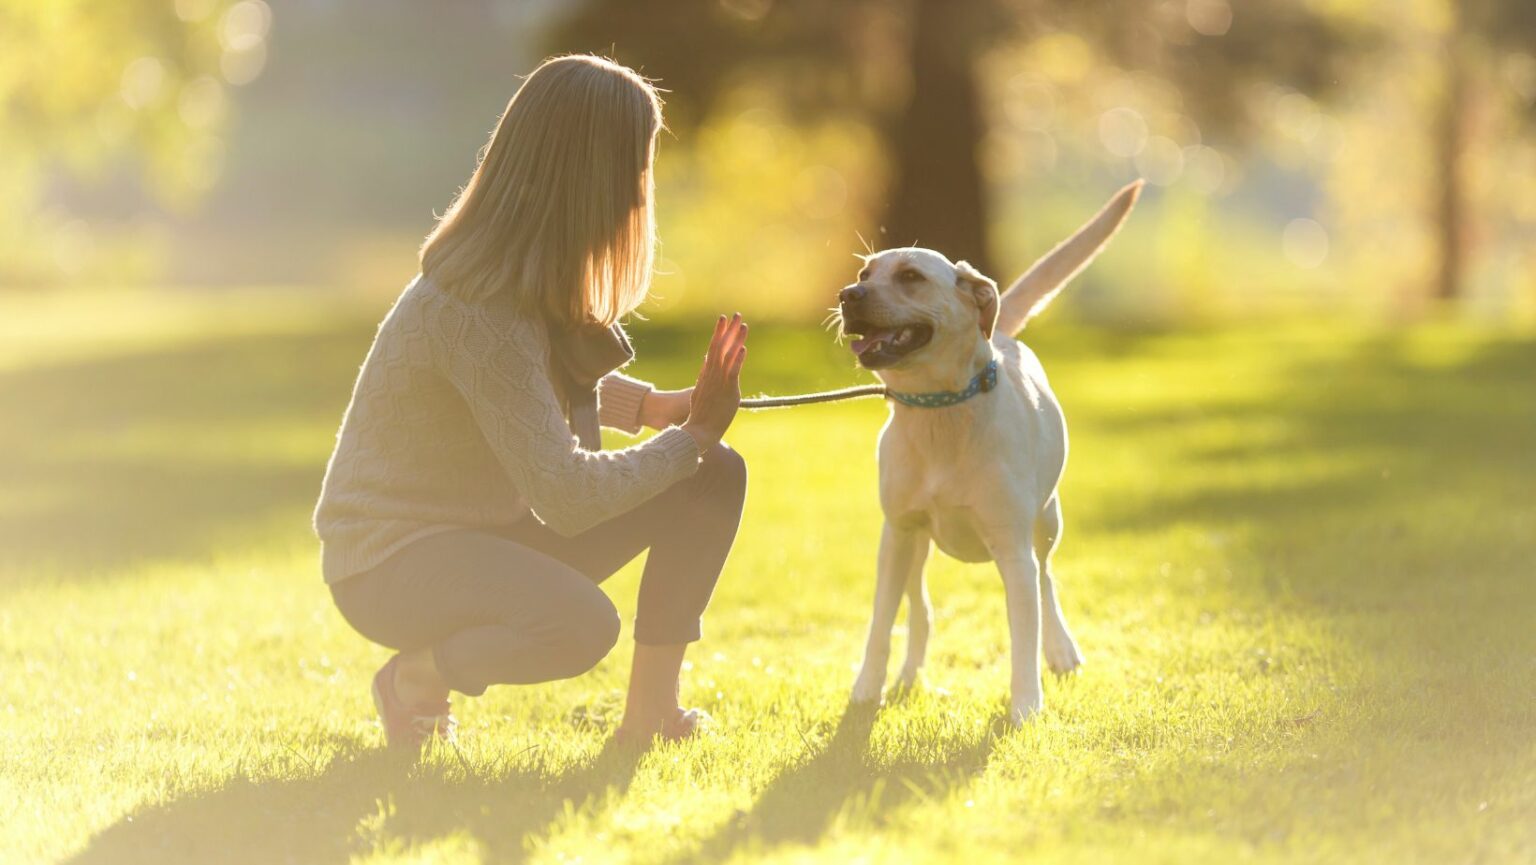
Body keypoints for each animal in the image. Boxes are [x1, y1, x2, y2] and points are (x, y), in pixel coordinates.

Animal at [841, 182, 1142, 725]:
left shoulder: (1012, 549)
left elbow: (1024, 632)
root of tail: (1000, 332)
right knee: (920, 609)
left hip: (1046, 522)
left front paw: (1024, 707)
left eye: (911, 276)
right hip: (915, 547)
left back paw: (1061, 650)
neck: (940, 410)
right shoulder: (896, 533)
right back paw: (908, 677)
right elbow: (880, 624)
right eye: (863, 274)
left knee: (1047, 582)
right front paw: (865, 692)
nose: (846, 296)